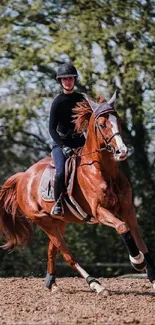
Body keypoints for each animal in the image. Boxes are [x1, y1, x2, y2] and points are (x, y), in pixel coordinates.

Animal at [0, 92, 155, 294]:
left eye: (119, 121)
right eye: (102, 125)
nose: (122, 152)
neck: (102, 170)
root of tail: (23, 177)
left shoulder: (128, 208)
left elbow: (140, 239)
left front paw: (152, 277)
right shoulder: (99, 211)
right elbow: (123, 228)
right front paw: (137, 261)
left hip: (59, 223)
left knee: (52, 250)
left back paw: (52, 283)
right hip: (43, 221)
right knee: (68, 256)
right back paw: (96, 284)